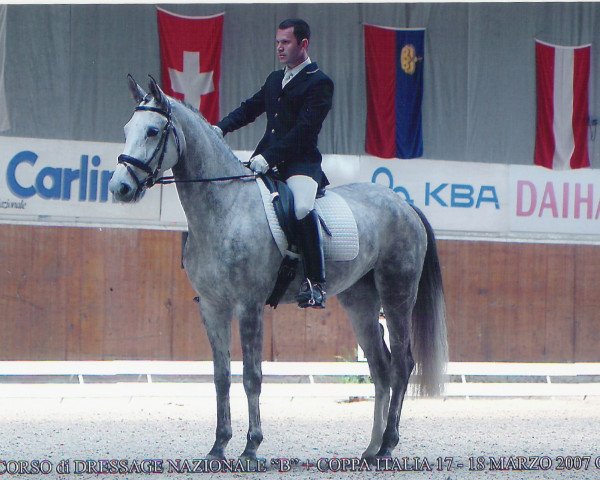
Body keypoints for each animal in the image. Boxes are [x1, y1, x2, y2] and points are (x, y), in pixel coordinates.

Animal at [108, 77, 448, 464]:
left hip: (397, 295)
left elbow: (252, 376)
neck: (225, 208)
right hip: (359, 303)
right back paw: (371, 448)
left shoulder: (249, 306)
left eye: (152, 131)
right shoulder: (212, 306)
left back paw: (388, 444)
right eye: (126, 130)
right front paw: (218, 447)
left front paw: (250, 448)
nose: (120, 188)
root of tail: (404, 204)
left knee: (402, 364)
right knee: (381, 367)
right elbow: (221, 376)